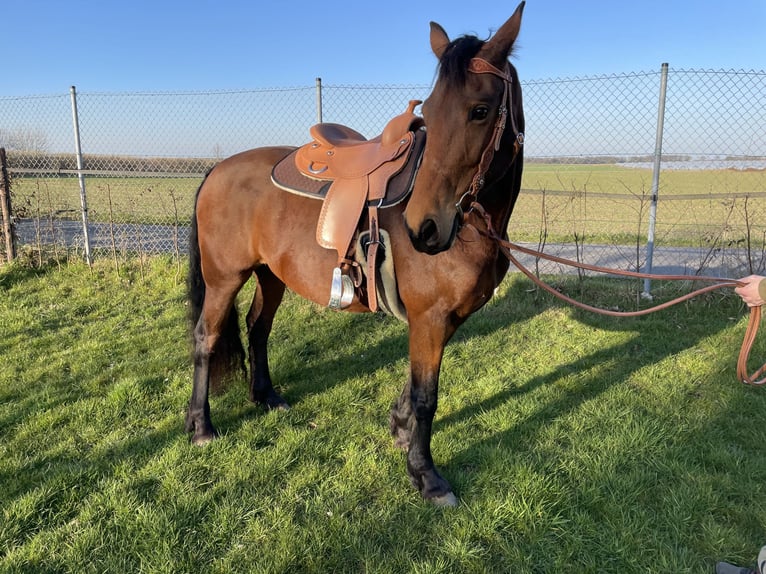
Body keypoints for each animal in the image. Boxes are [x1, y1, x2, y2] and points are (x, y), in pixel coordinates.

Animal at [186, 1, 528, 508]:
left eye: (480, 110)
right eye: (430, 113)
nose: (424, 228)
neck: (472, 226)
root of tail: (217, 169)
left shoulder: (442, 318)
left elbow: (416, 386)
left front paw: (401, 431)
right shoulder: (430, 317)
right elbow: (427, 395)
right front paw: (426, 474)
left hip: (271, 275)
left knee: (257, 327)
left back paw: (266, 397)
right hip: (224, 278)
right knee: (206, 337)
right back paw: (201, 426)